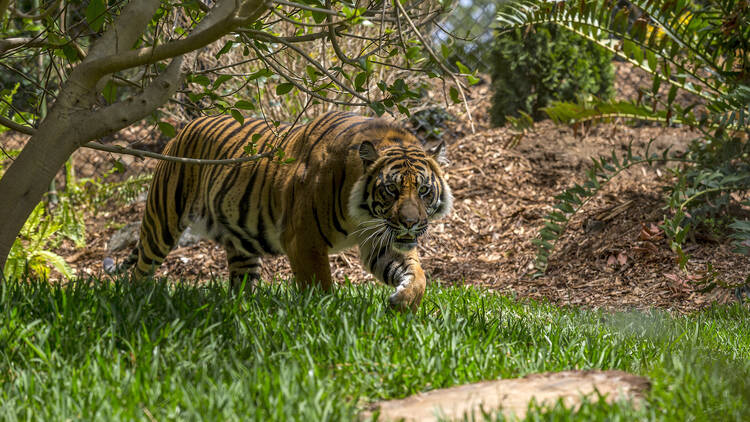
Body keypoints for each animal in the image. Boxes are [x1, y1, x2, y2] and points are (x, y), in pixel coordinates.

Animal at [114, 112, 452, 310]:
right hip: (162, 219)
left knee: (241, 283)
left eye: (424, 190)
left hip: (242, 245)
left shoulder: (381, 240)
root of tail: (184, 127)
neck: (364, 216)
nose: (410, 223)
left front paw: (403, 301)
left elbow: (418, 275)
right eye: (391, 189)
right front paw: (327, 319)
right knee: (140, 269)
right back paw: (137, 301)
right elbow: (320, 286)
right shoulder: (304, 240)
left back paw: (243, 311)